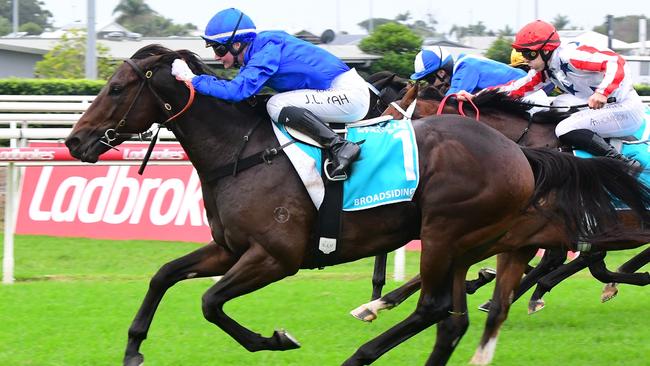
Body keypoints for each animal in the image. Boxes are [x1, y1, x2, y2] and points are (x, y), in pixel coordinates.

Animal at [64, 45, 648, 366]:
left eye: (116, 88)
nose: (75, 142)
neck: (244, 153)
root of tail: (520, 152)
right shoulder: (229, 248)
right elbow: (163, 275)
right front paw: (134, 348)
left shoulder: (275, 256)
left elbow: (210, 303)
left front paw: (276, 339)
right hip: (466, 241)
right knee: (453, 317)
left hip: (445, 232)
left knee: (437, 308)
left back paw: (361, 352)